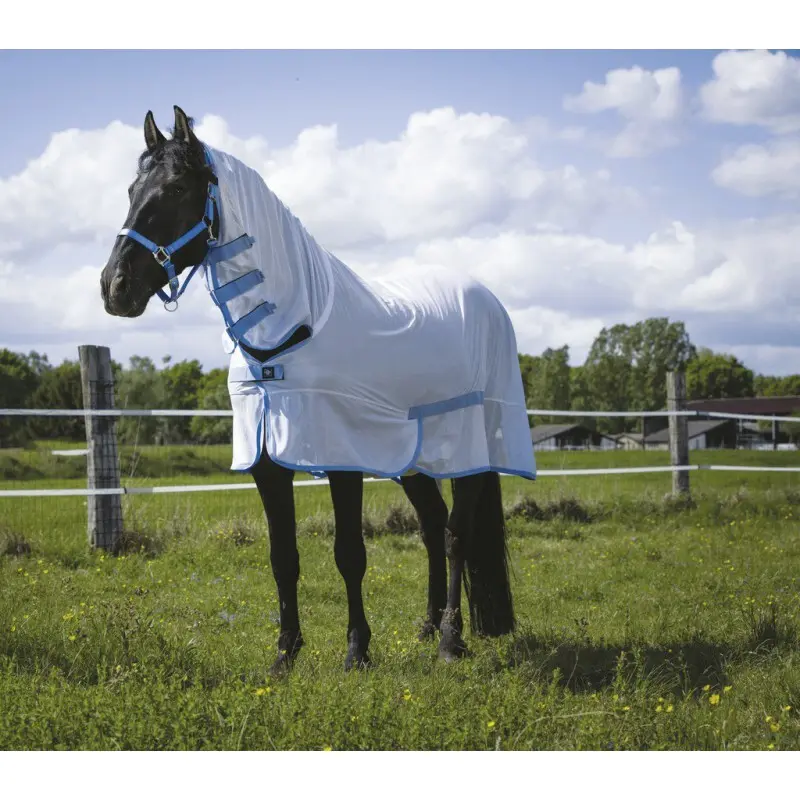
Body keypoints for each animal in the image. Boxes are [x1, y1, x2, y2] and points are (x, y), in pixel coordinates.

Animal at [99, 106, 536, 674]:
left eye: (174, 188)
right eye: (132, 188)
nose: (114, 287)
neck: (291, 326)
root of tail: (485, 299)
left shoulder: (342, 453)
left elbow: (349, 554)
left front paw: (356, 651)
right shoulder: (267, 459)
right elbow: (282, 556)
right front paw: (285, 655)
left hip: (470, 448)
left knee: (455, 534)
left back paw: (449, 640)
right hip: (412, 454)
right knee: (430, 524)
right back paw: (425, 626)